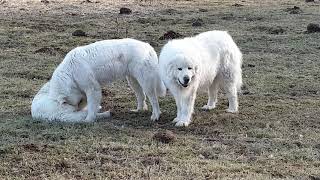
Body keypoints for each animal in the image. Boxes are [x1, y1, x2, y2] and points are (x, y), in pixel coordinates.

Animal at [31, 38, 166, 122]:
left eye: (67, 104)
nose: (74, 110)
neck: (70, 73)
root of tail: (148, 47)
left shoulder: (92, 88)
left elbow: (91, 108)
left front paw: (88, 120)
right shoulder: (84, 91)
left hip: (145, 81)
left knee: (153, 99)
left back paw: (155, 116)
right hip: (133, 80)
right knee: (141, 96)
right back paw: (139, 110)